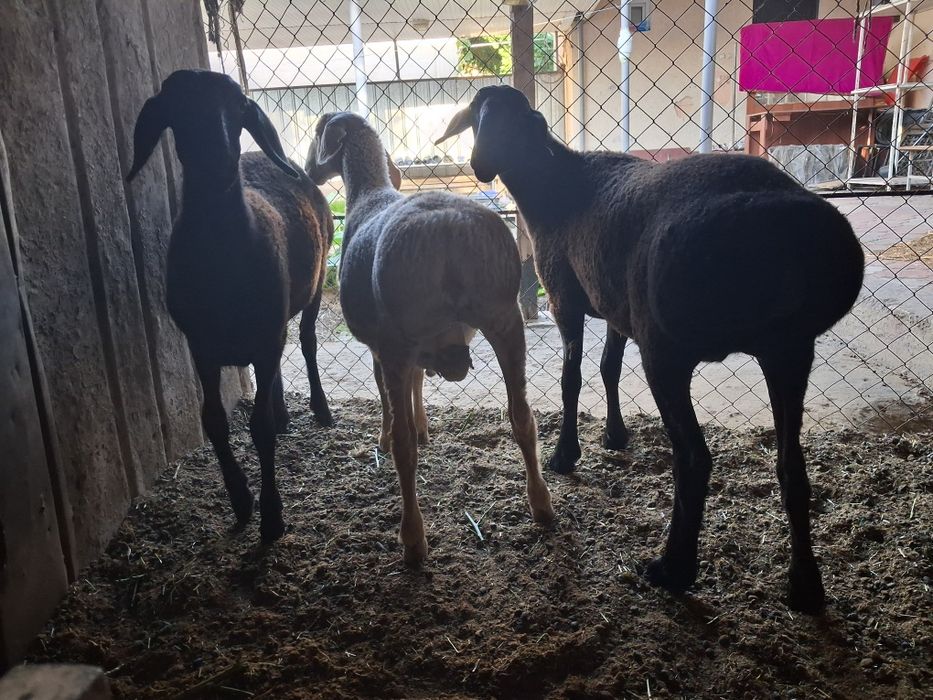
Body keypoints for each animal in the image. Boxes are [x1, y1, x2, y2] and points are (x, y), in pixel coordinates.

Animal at [126, 69, 334, 542]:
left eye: (239, 106)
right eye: (175, 105)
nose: (218, 159)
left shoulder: (265, 336)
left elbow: (258, 427)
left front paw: (272, 517)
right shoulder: (201, 346)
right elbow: (214, 421)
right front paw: (241, 500)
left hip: (312, 288)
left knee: (308, 342)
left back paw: (320, 408)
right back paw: (284, 412)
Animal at [304, 111, 553, 564]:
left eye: (316, 135)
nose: (308, 171)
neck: (369, 193)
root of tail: (446, 227)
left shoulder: (382, 346)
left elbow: (386, 396)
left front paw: (386, 435)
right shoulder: (420, 349)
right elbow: (420, 382)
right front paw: (424, 426)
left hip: (399, 337)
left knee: (406, 452)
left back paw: (412, 538)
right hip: (504, 318)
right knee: (522, 417)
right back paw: (541, 504)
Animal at [438, 85, 865, 613]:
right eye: (478, 118)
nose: (478, 165)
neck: (551, 183)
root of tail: (789, 237)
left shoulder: (564, 299)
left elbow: (572, 377)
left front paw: (565, 454)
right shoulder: (616, 307)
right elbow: (608, 368)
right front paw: (615, 436)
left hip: (669, 350)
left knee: (694, 459)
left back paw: (673, 569)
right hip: (789, 349)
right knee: (792, 466)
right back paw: (805, 586)